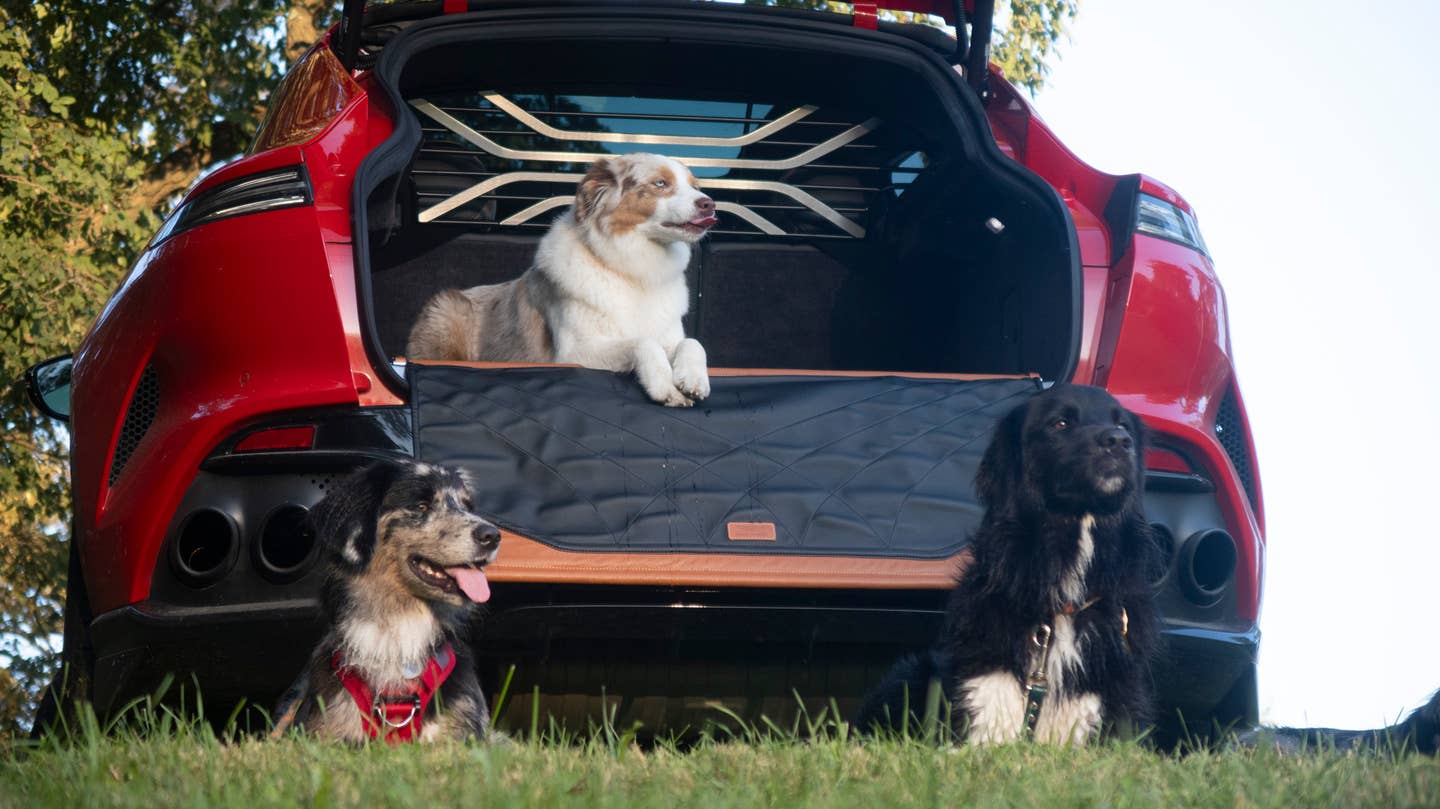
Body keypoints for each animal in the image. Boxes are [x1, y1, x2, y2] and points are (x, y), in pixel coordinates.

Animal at [406, 151, 720, 405]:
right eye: (660, 183)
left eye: (695, 186)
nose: (710, 204)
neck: (632, 271)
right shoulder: (574, 353)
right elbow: (643, 342)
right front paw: (664, 386)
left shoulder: (670, 335)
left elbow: (694, 343)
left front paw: (693, 379)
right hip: (448, 306)